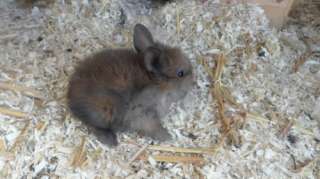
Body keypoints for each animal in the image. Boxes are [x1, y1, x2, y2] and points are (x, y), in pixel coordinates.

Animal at [66, 23, 194, 146]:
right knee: (94, 126)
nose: (193, 80)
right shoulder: (144, 114)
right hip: (104, 112)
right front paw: (167, 137)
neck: (158, 84)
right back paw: (111, 141)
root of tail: (71, 100)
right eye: (180, 73)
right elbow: (154, 128)